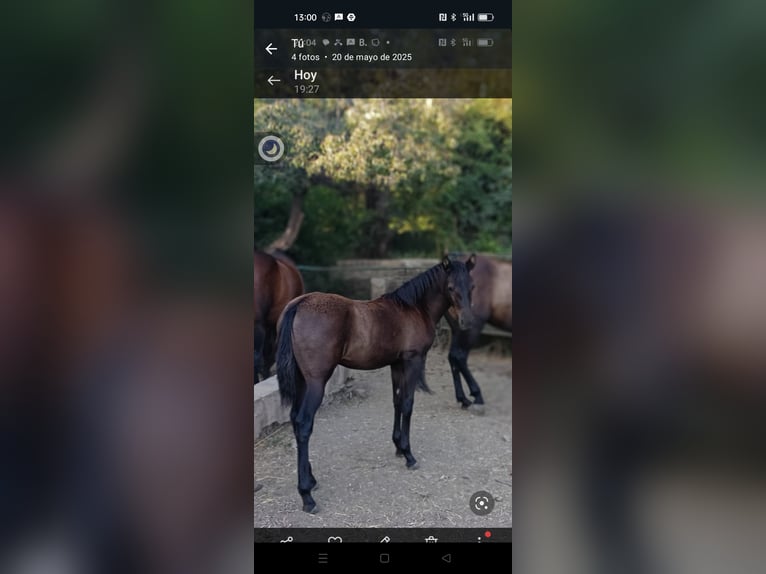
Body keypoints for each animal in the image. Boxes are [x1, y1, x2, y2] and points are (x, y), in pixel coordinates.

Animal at [275, 255, 476, 513]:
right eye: (450, 287)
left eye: (471, 286)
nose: (466, 321)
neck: (414, 308)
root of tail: (299, 304)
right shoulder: (412, 361)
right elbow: (408, 404)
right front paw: (409, 455)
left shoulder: (396, 364)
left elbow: (397, 402)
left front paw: (398, 447)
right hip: (316, 382)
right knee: (303, 423)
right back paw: (307, 496)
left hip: (302, 379)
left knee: (293, 418)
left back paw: (311, 479)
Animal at [444, 255, 512, 408]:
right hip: (471, 327)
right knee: (459, 356)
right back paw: (477, 395)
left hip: (459, 328)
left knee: (453, 357)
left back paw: (462, 398)